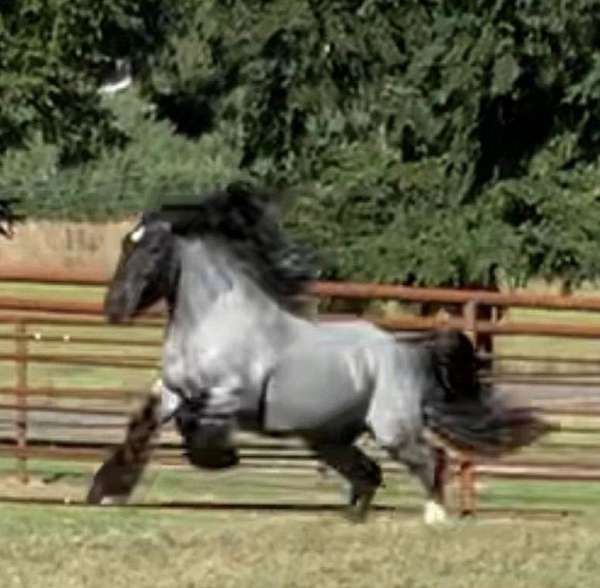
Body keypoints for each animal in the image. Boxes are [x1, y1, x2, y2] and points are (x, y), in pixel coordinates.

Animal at [86, 185, 552, 524]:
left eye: (153, 249)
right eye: (125, 244)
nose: (115, 308)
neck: (214, 320)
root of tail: (404, 352)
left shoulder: (230, 395)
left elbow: (193, 424)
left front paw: (220, 458)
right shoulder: (171, 388)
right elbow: (143, 424)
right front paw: (105, 491)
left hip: (390, 428)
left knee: (428, 458)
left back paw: (435, 517)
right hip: (328, 438)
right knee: (369, 472)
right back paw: (353, 517)